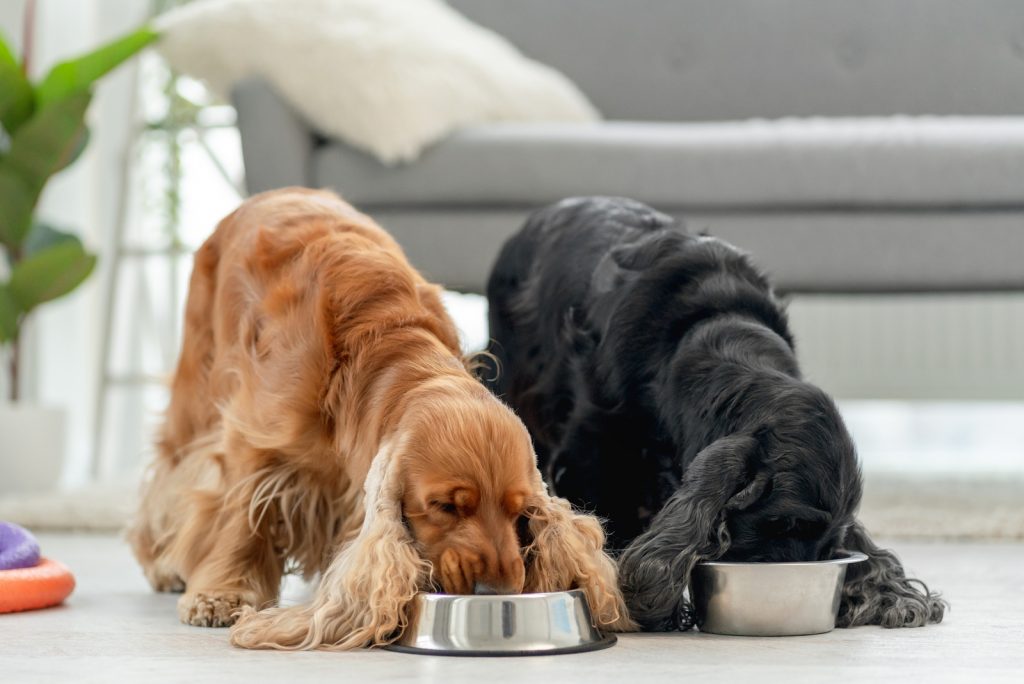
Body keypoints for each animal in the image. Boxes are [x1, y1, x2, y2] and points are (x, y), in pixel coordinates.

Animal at [128, 189, 630, 651]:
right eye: (445, 506)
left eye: (520, 512)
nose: (496, 592)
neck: (388, 349)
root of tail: (276, 193)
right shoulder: (258, 435)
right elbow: (241, 514)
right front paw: (222, 594)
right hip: (199, 384)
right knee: (172, 473)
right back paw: (165, 566)